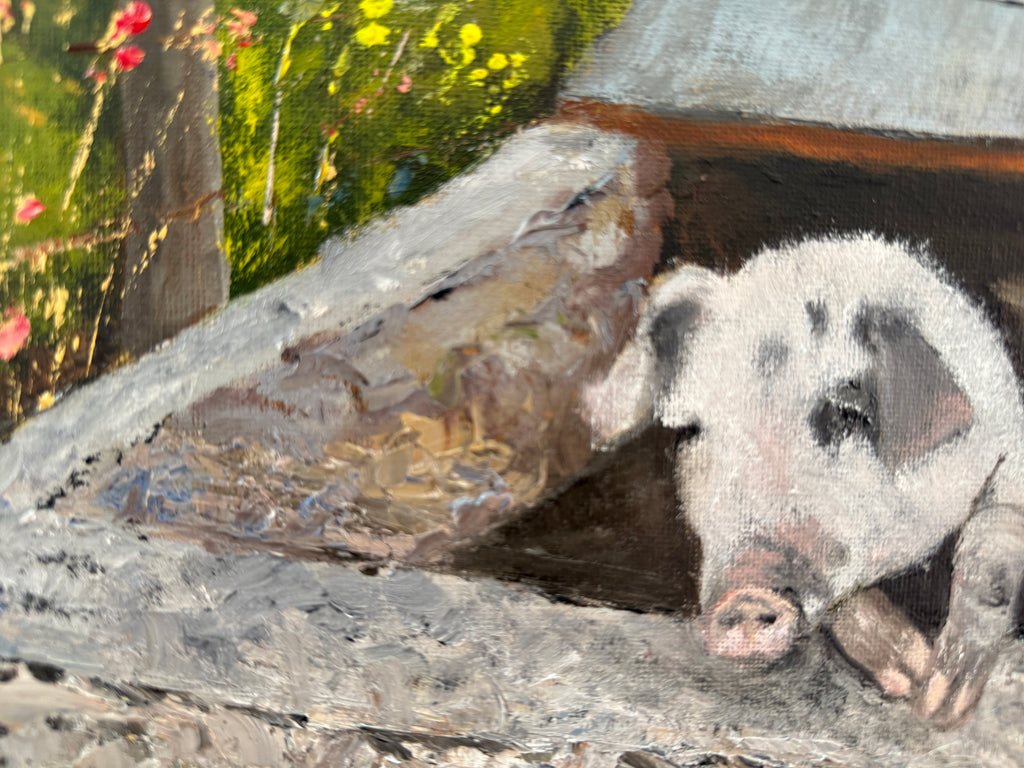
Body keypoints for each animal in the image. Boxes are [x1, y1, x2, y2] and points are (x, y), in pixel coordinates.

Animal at [583, 234, 1024, 727]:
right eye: (693, 429)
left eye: (848, 414)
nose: (746, 592)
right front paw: (909, 675)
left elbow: (994, 546)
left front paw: (939, 703)